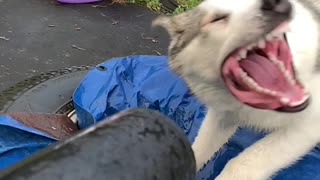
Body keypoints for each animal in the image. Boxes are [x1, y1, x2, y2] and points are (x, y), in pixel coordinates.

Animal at [152, 0, 320, 179]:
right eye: (217, 19)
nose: (274, 4)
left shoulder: (306, 125)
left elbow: (239, 165)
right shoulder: (222, 117)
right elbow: (197, 149)